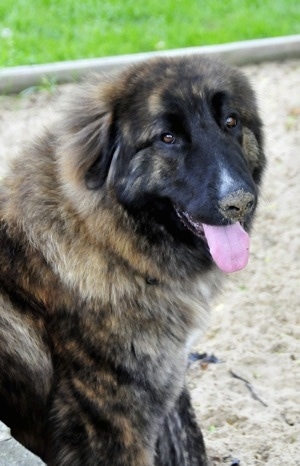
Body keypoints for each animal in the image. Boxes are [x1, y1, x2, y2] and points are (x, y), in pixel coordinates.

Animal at [0, 55, 264, 466]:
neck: (112, 245)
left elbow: (189, 444)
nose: (239, 202)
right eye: (167, 138)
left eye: (231, 121)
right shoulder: (113, 425)